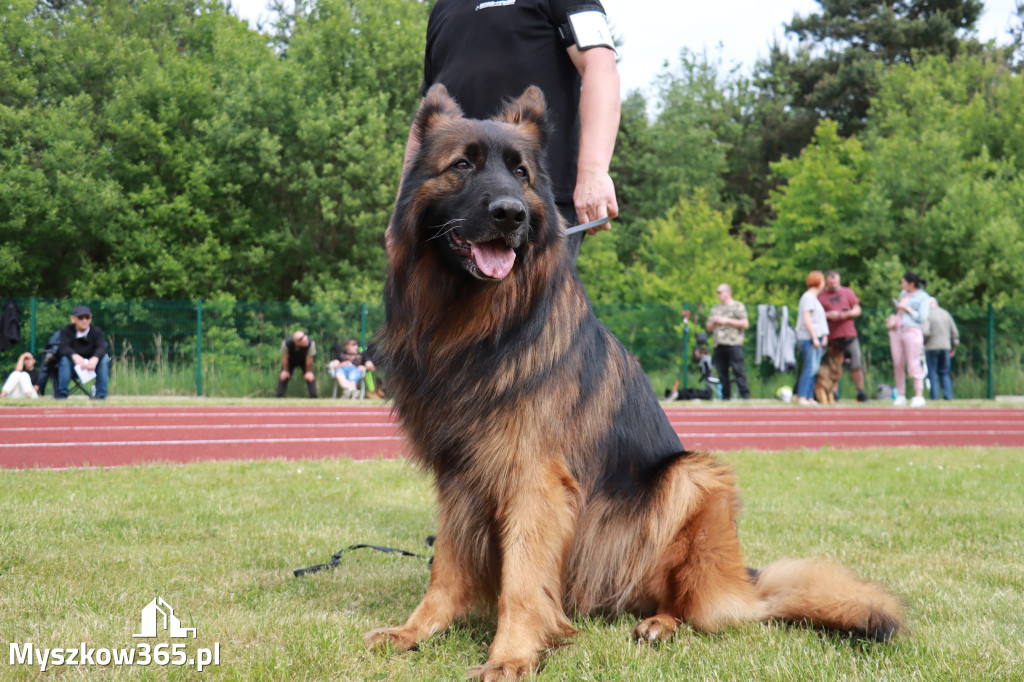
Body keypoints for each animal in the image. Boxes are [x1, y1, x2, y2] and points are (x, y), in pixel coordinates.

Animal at [370, 84, 905, 679]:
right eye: (461, 165)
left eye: (521, 173)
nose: (510, 214)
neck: (482, 326)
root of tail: (745, 584)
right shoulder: (458, 476)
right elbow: (445, 567)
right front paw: (417, 630)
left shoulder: (535, 479)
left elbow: (522, 581)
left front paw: (511, 654)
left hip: (693, 480)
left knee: (696, 606)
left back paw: (661, 623)